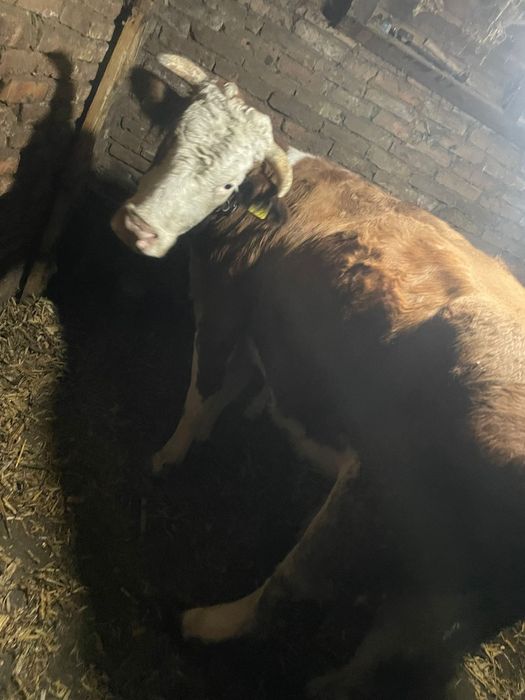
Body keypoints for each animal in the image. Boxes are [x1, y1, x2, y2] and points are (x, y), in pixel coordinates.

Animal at [111, 53, 525, 698]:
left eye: (228, 184)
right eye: (172, 137)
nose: (139, 229)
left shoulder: (225, 300)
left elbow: (203, 389)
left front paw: (169, 455)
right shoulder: (262, 318)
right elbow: (235, 387)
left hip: (372, 493)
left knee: (295, 585)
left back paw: (206, 621)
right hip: (449, 584)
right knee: (394, 637)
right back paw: (333, 684)